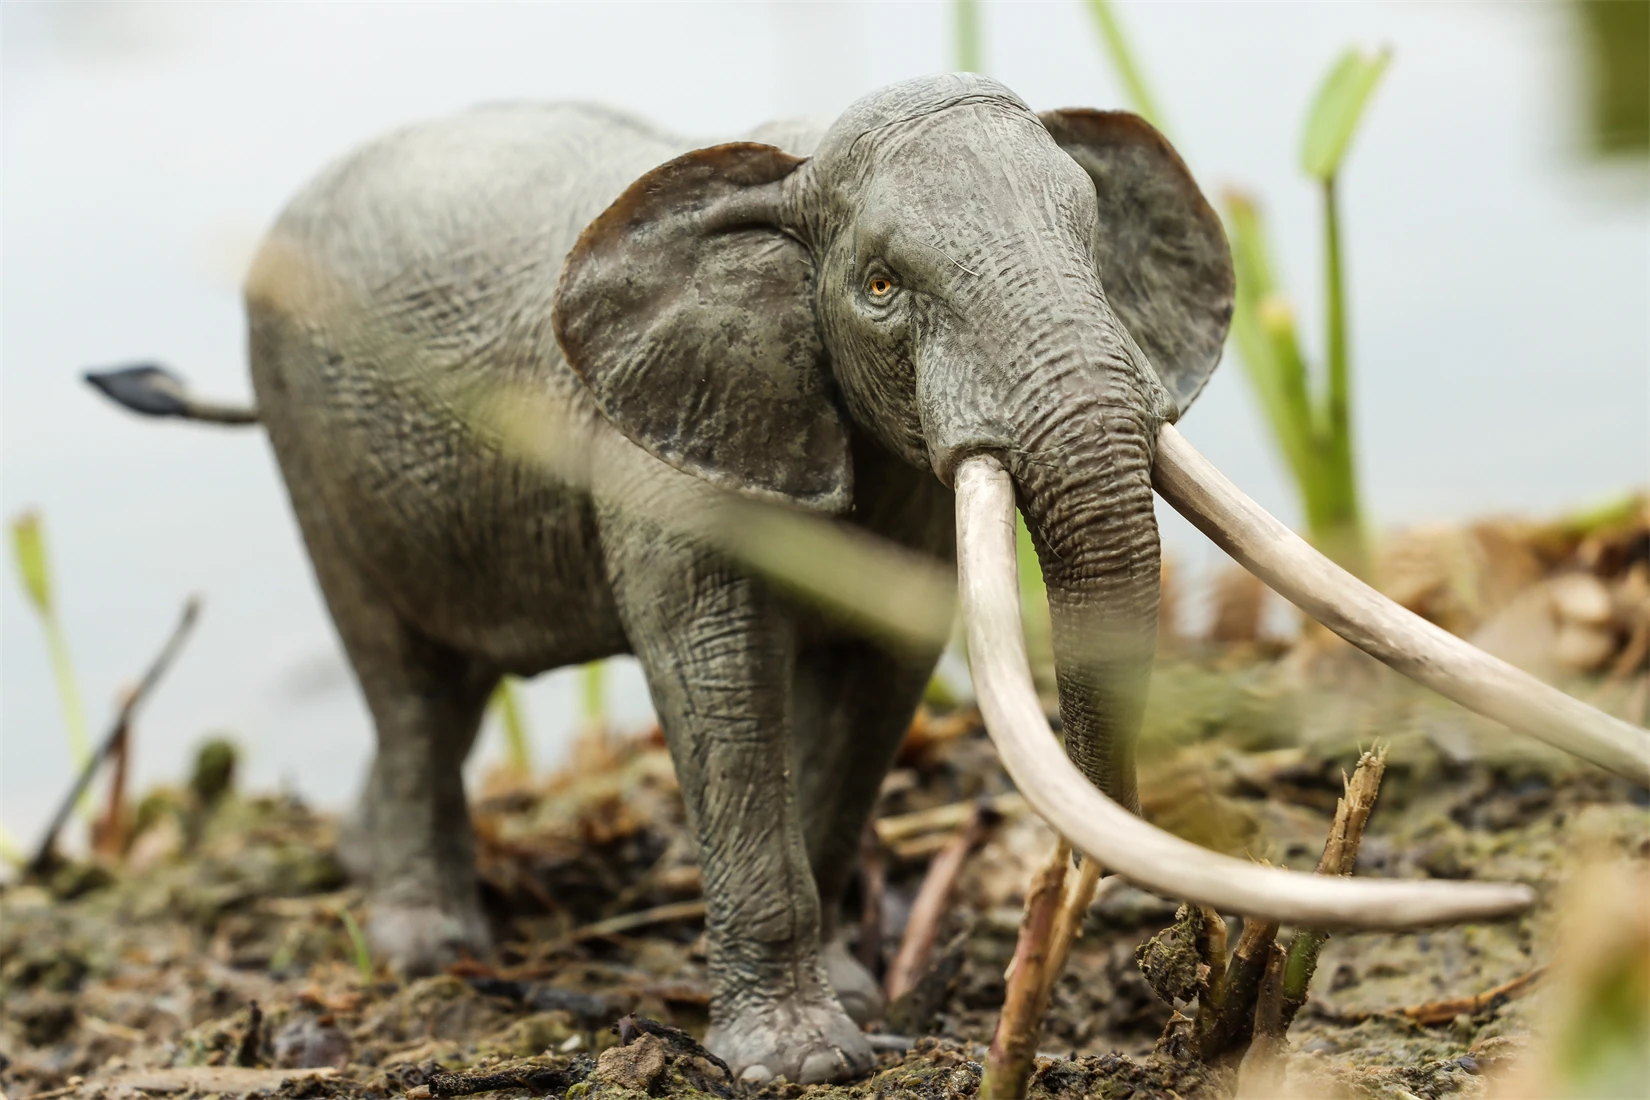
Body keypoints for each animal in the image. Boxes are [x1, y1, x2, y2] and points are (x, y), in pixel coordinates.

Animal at [87, 74, 1646, 1085]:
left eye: (1090, 248)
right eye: (884, 287)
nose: (1161, 958)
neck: (789, 157)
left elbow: (881, 671)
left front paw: (844, 993)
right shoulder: (661, 455)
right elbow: (719, 680)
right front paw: (800, 1060)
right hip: (310, 443)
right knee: (411, 682)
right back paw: (424, 943)